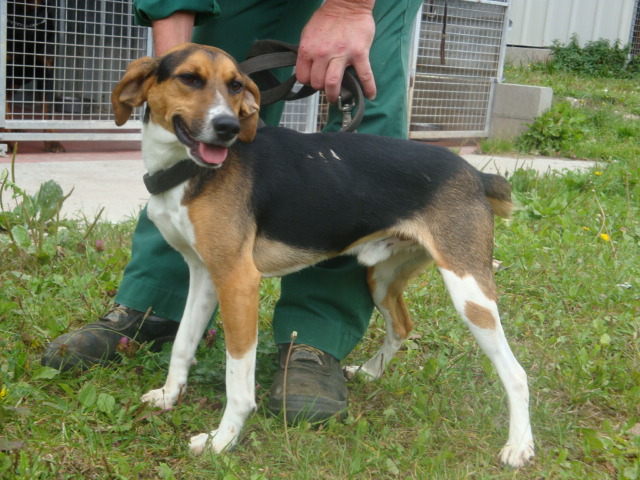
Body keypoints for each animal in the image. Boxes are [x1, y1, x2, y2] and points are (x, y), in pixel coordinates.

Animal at [111, 43, 536, 466]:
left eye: (235, 86)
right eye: (189, 78)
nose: (228, 127)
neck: (185, 169)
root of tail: (476, 176)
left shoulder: (237, 281)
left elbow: (238, 380)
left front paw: (222, 440)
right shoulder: (204, 275)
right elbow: (182, 343)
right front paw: (169, 396)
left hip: (469, 291)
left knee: (515, 373)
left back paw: (519, 445)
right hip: (381, 278)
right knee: (402, 326)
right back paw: (369, 372)